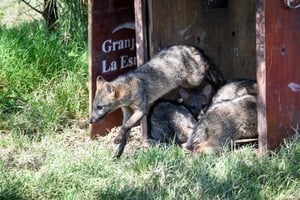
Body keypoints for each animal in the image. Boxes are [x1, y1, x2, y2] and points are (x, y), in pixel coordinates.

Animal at [88, 44, 224, 157]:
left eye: (100, 107)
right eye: (94, 107)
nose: (90, 121)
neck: (130, 87)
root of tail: (187, 46)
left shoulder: (141, 109)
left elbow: (126, 125)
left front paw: (118, 140)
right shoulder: (127, 112)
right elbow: (125, 130)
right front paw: (118, 151)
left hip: (195, 79)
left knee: (205, 65)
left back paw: (211, 73)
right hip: (187, 83)